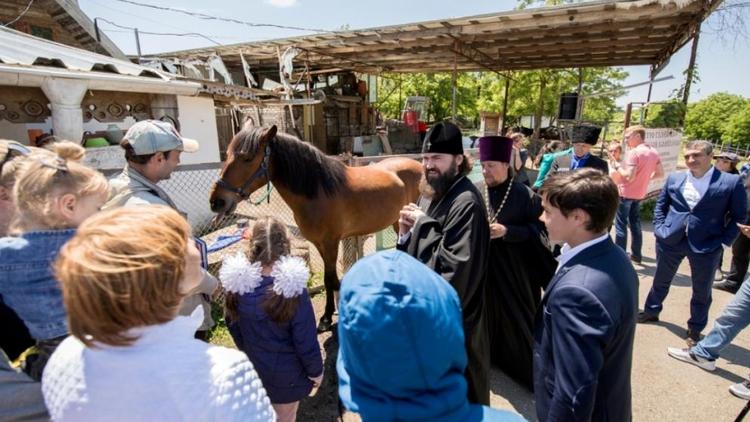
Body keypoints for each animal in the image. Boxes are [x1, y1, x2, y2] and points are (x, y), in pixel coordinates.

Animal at [209, 123, 426, 332]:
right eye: (227, 155)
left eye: (247, 158)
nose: (216, 201)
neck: (318, 192)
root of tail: (419, 165)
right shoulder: (319, 244)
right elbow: (331, 278)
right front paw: (329, 315)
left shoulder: (331, 243)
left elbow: (330, 279)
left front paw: (327, 317)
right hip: (398, 221)